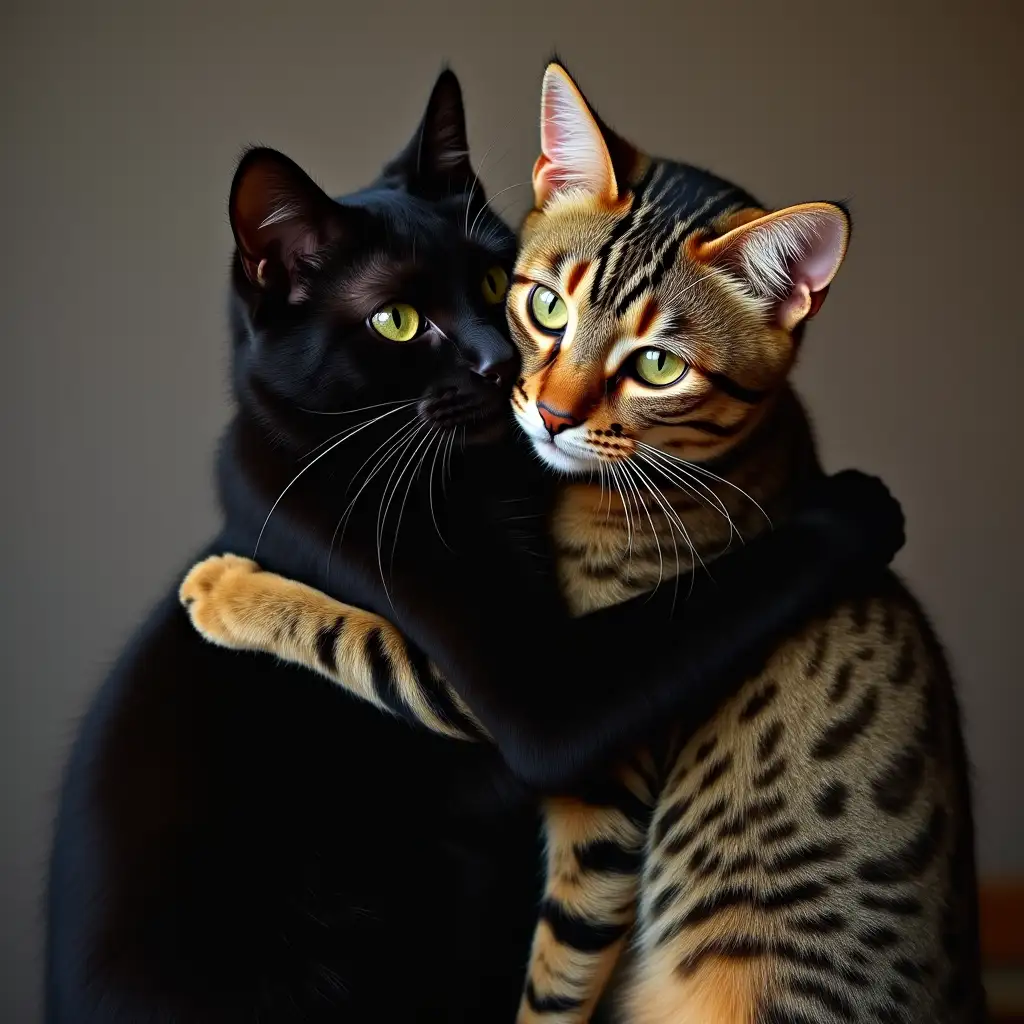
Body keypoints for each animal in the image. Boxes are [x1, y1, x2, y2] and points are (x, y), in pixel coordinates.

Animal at [48, 74, 901, 1024]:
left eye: (497, 279)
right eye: (397, 321)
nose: (507, 371)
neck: (480, 481)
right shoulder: (540, 702)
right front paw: (852, 507)